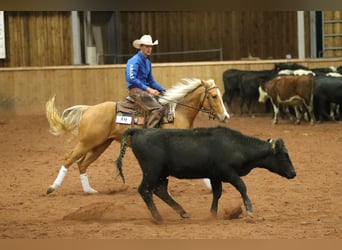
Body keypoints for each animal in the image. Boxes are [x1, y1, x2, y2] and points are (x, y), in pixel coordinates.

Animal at [44, 77, 228, 194]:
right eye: (214, 96)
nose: (225, 116)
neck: (176, 114)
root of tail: (89, 109)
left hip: (100, 145)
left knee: (82, 164)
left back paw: (89, 191)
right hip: (86, 143)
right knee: (69, 159)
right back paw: (52, 187)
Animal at [115, 127, 296, 223]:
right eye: (284, 155)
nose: (294, 173)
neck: (238, 146)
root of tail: (140, 130)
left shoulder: (215, 176)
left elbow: (217, 193)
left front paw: (213, 214)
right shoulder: (228, 172)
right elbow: (242, 186)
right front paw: (249, 210)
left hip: (161, 173)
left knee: (160, 190)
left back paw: (182, 212)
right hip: (151, 171)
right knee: (145, 190)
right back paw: (158, 217)